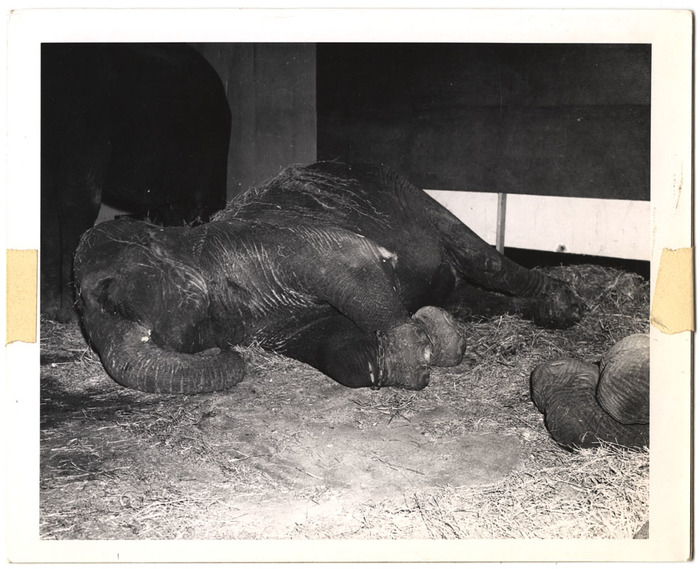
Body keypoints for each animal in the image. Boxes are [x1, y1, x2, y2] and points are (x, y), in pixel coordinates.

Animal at [41, 43, 231, 322]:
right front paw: (48, 309)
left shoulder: (89, 125)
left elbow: (77, 203)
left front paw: (70, 315)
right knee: (174, 212)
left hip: (212, 148)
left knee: (205, 205)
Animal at [74, 161, 585, 394]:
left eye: (108, 295)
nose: (227, 353)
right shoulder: (271, 323)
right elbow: (332, 347)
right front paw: (431, 343)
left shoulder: (273, 243)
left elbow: (351, 261)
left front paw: (421, 350)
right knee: (473, 296)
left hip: (414, 197)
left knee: (486, 262)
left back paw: (566, 307)